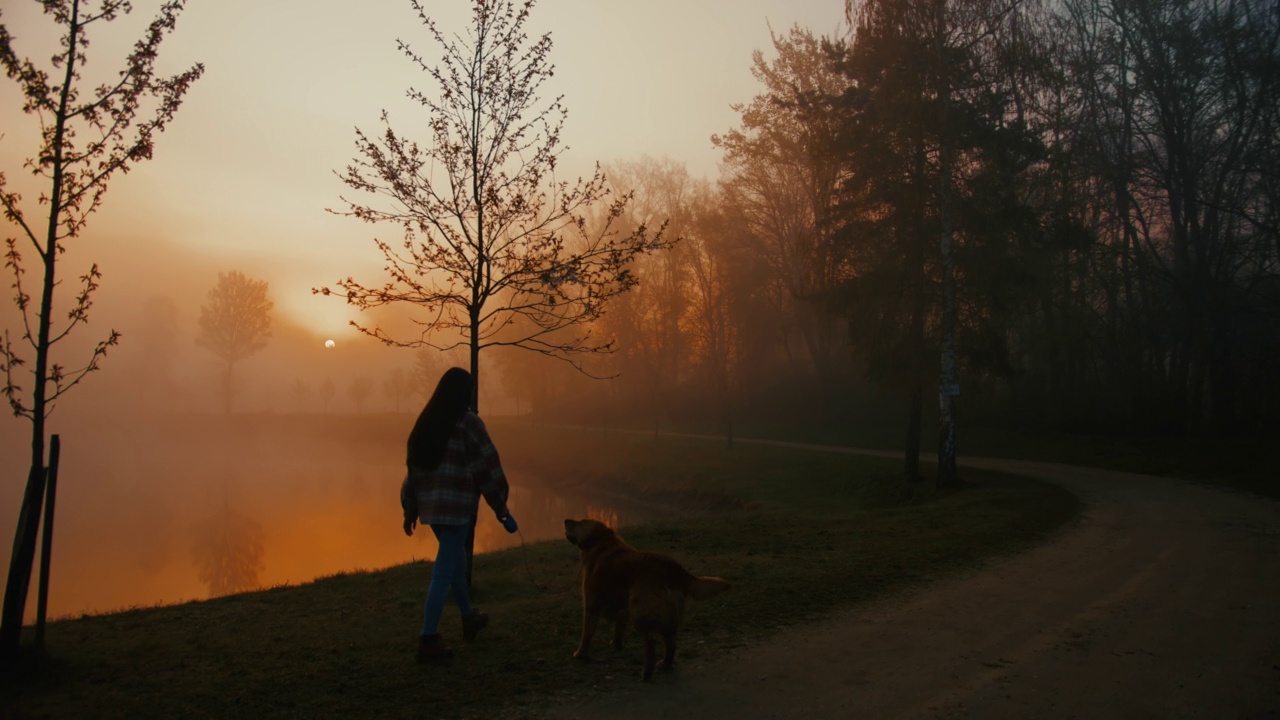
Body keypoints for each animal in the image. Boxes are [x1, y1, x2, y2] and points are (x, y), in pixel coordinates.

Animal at [563, 515, 732, 676]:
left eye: (581, 522)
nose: (565, 520)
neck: (600, 543)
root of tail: (673, 568)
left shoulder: (591, 605)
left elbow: (586, 635)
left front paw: (580, 654)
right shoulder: (621, 607)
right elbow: (618, 628)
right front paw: (616, 645)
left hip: (640, 611)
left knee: (651, 642)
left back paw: (646, 674)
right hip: (667, 617)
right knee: (671, 642)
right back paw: (665, 664)